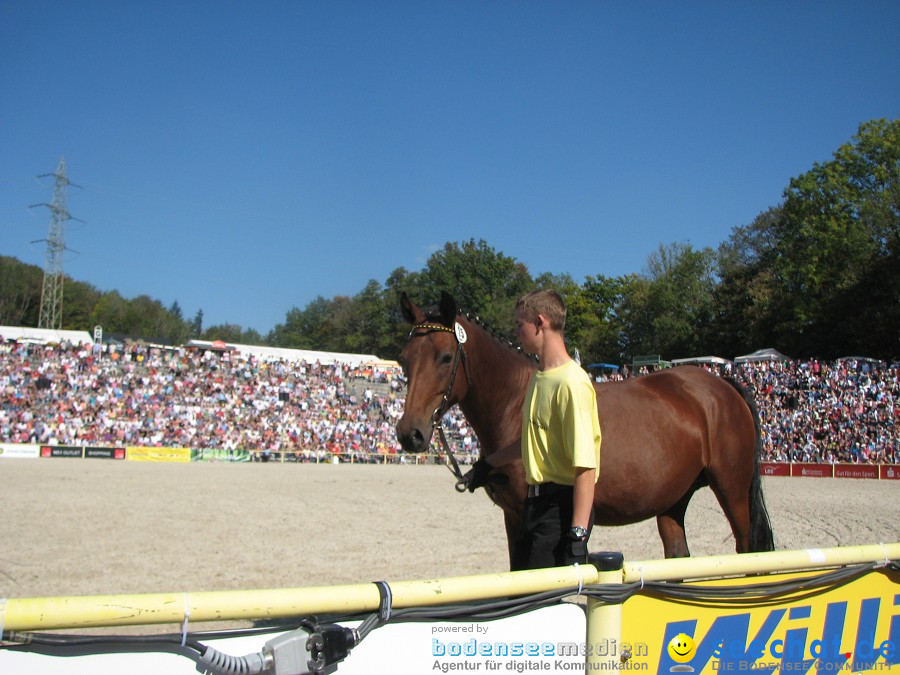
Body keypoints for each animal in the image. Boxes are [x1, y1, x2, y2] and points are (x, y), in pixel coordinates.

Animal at [398, 294, 776, 568]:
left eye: (446, 357)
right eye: (404, 358)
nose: (408, 433)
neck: (518, 404)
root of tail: (723, 385)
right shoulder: (513, 518)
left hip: (731, 489)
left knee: (749, 552)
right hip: (673, 500)